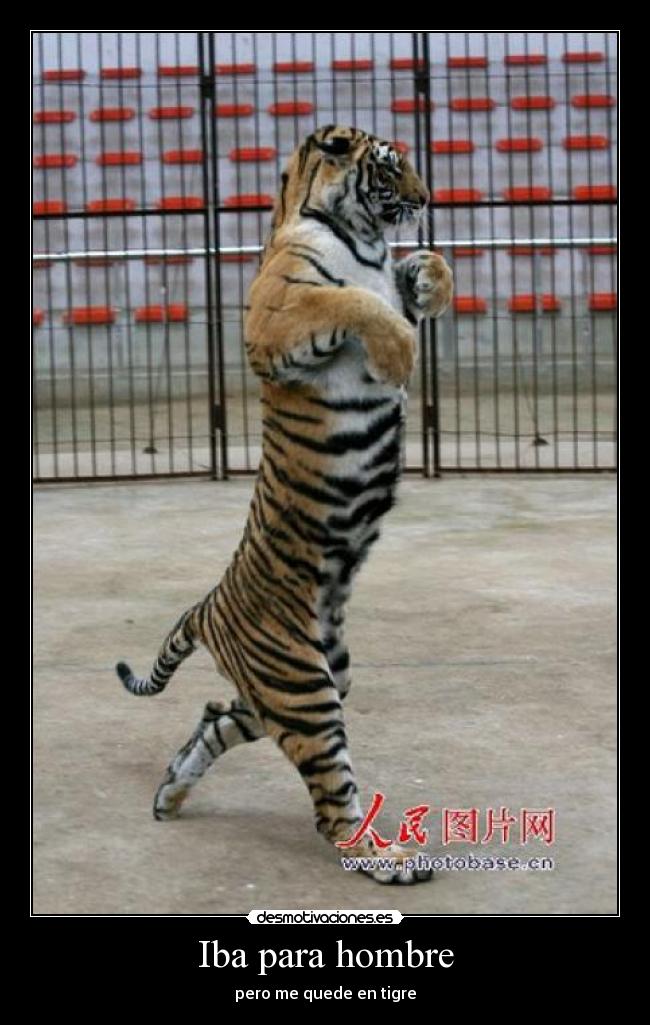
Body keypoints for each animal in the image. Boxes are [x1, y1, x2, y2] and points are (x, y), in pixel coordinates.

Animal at [116, 125, 453, 885]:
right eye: (392, 169)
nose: (426, 200)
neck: (364, 238)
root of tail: (211, 603)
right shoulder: (277, 321)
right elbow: (354, 303)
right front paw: (399, 353)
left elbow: (425, 269)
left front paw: (429, 280)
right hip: (301, 684)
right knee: (331, 801)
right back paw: (387, 860)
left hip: (317, 674)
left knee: (215, 714)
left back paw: (169, 791)